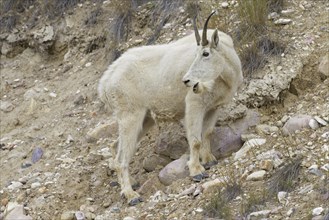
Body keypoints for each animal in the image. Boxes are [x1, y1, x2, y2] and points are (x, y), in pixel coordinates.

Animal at [98, 11, 242, 205]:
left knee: (116, 147)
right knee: (121, 158)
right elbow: (195, 139)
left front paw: (209, 160)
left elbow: (208, 133)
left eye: (205, 53)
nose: (187, 81)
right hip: (130, 115)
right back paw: (131, 195)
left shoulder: (214, 107)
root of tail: (106, 81)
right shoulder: (194, 104)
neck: (225, 75)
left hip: (145, 119)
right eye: (196, 54)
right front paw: (197, 171)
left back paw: (131, 184)